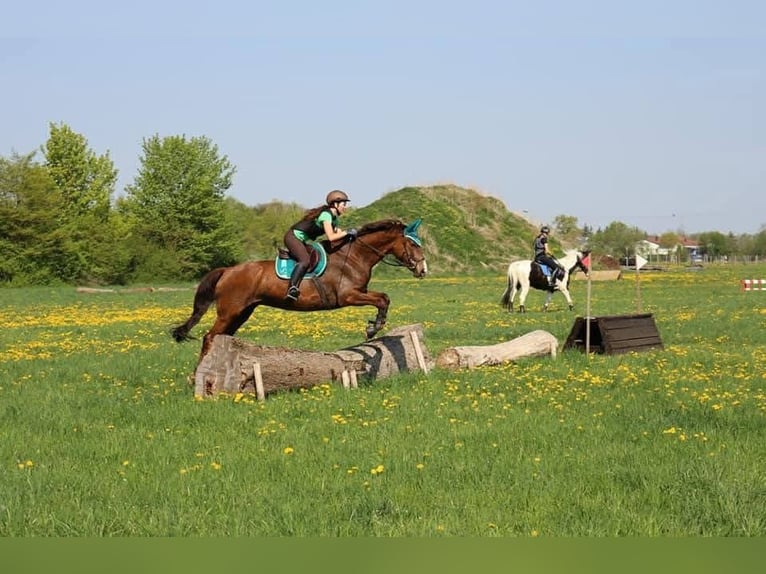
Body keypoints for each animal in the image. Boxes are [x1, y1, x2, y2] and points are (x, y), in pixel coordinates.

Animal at [171, 219, 428, 366]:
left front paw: (374, 326)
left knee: (220, 337)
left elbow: (384, 298)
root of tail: (227, 270)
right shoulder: (349, 296)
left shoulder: (359, 292)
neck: (354, 255)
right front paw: (373, 328)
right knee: (209, 337)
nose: (423, 269)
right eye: (413, 244)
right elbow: (383, 299)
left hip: (242, 313)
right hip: (229, 312)